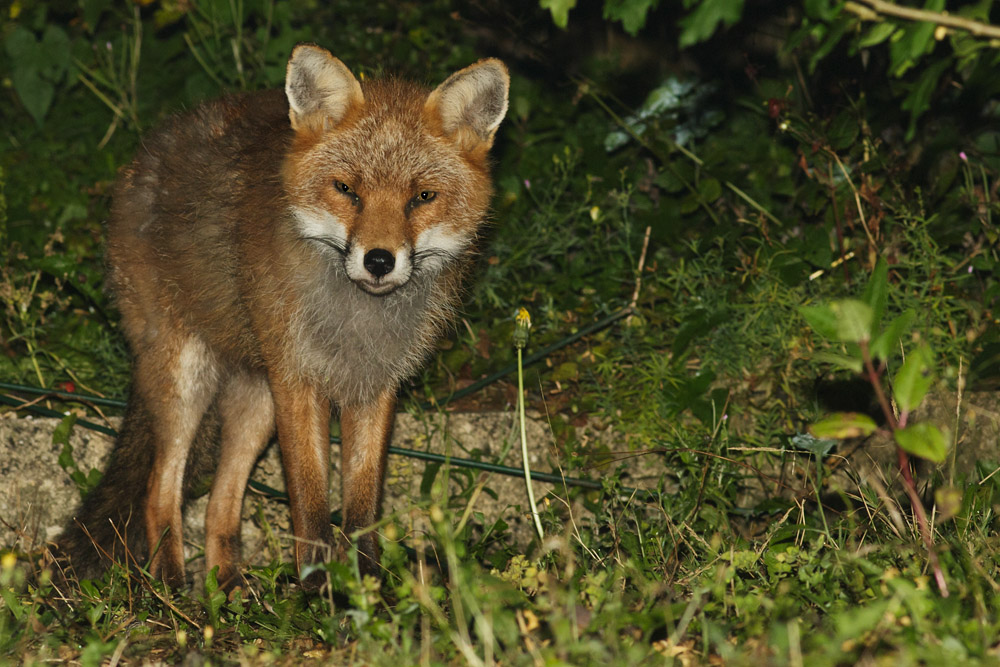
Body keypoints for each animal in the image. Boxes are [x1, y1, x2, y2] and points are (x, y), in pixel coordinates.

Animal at [54, 44, 509, 590]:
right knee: (159, 490)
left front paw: (366, 590)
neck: (354, 322)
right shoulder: (297, 381)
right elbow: (310, 505)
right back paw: (168, 587)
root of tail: (146, 153)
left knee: (220, 505)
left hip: (256, 401)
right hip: (187, 379)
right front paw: (317, 593)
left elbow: (361, 507)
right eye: (346, 189)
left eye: (421, 197)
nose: (379, 260)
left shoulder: (374, 387)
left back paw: (227, 589)